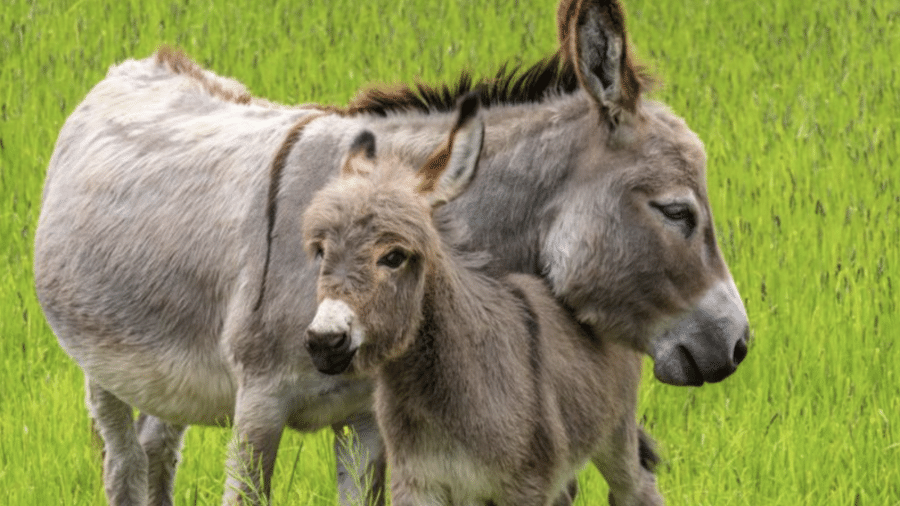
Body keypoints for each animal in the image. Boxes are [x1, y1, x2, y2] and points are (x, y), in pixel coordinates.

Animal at [302, 96, 660, 506]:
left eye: (394, 257)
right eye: (321, 251)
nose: (325, 341)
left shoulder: (523, 486)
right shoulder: (418, 482)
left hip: (615, 430)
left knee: (637, 487)